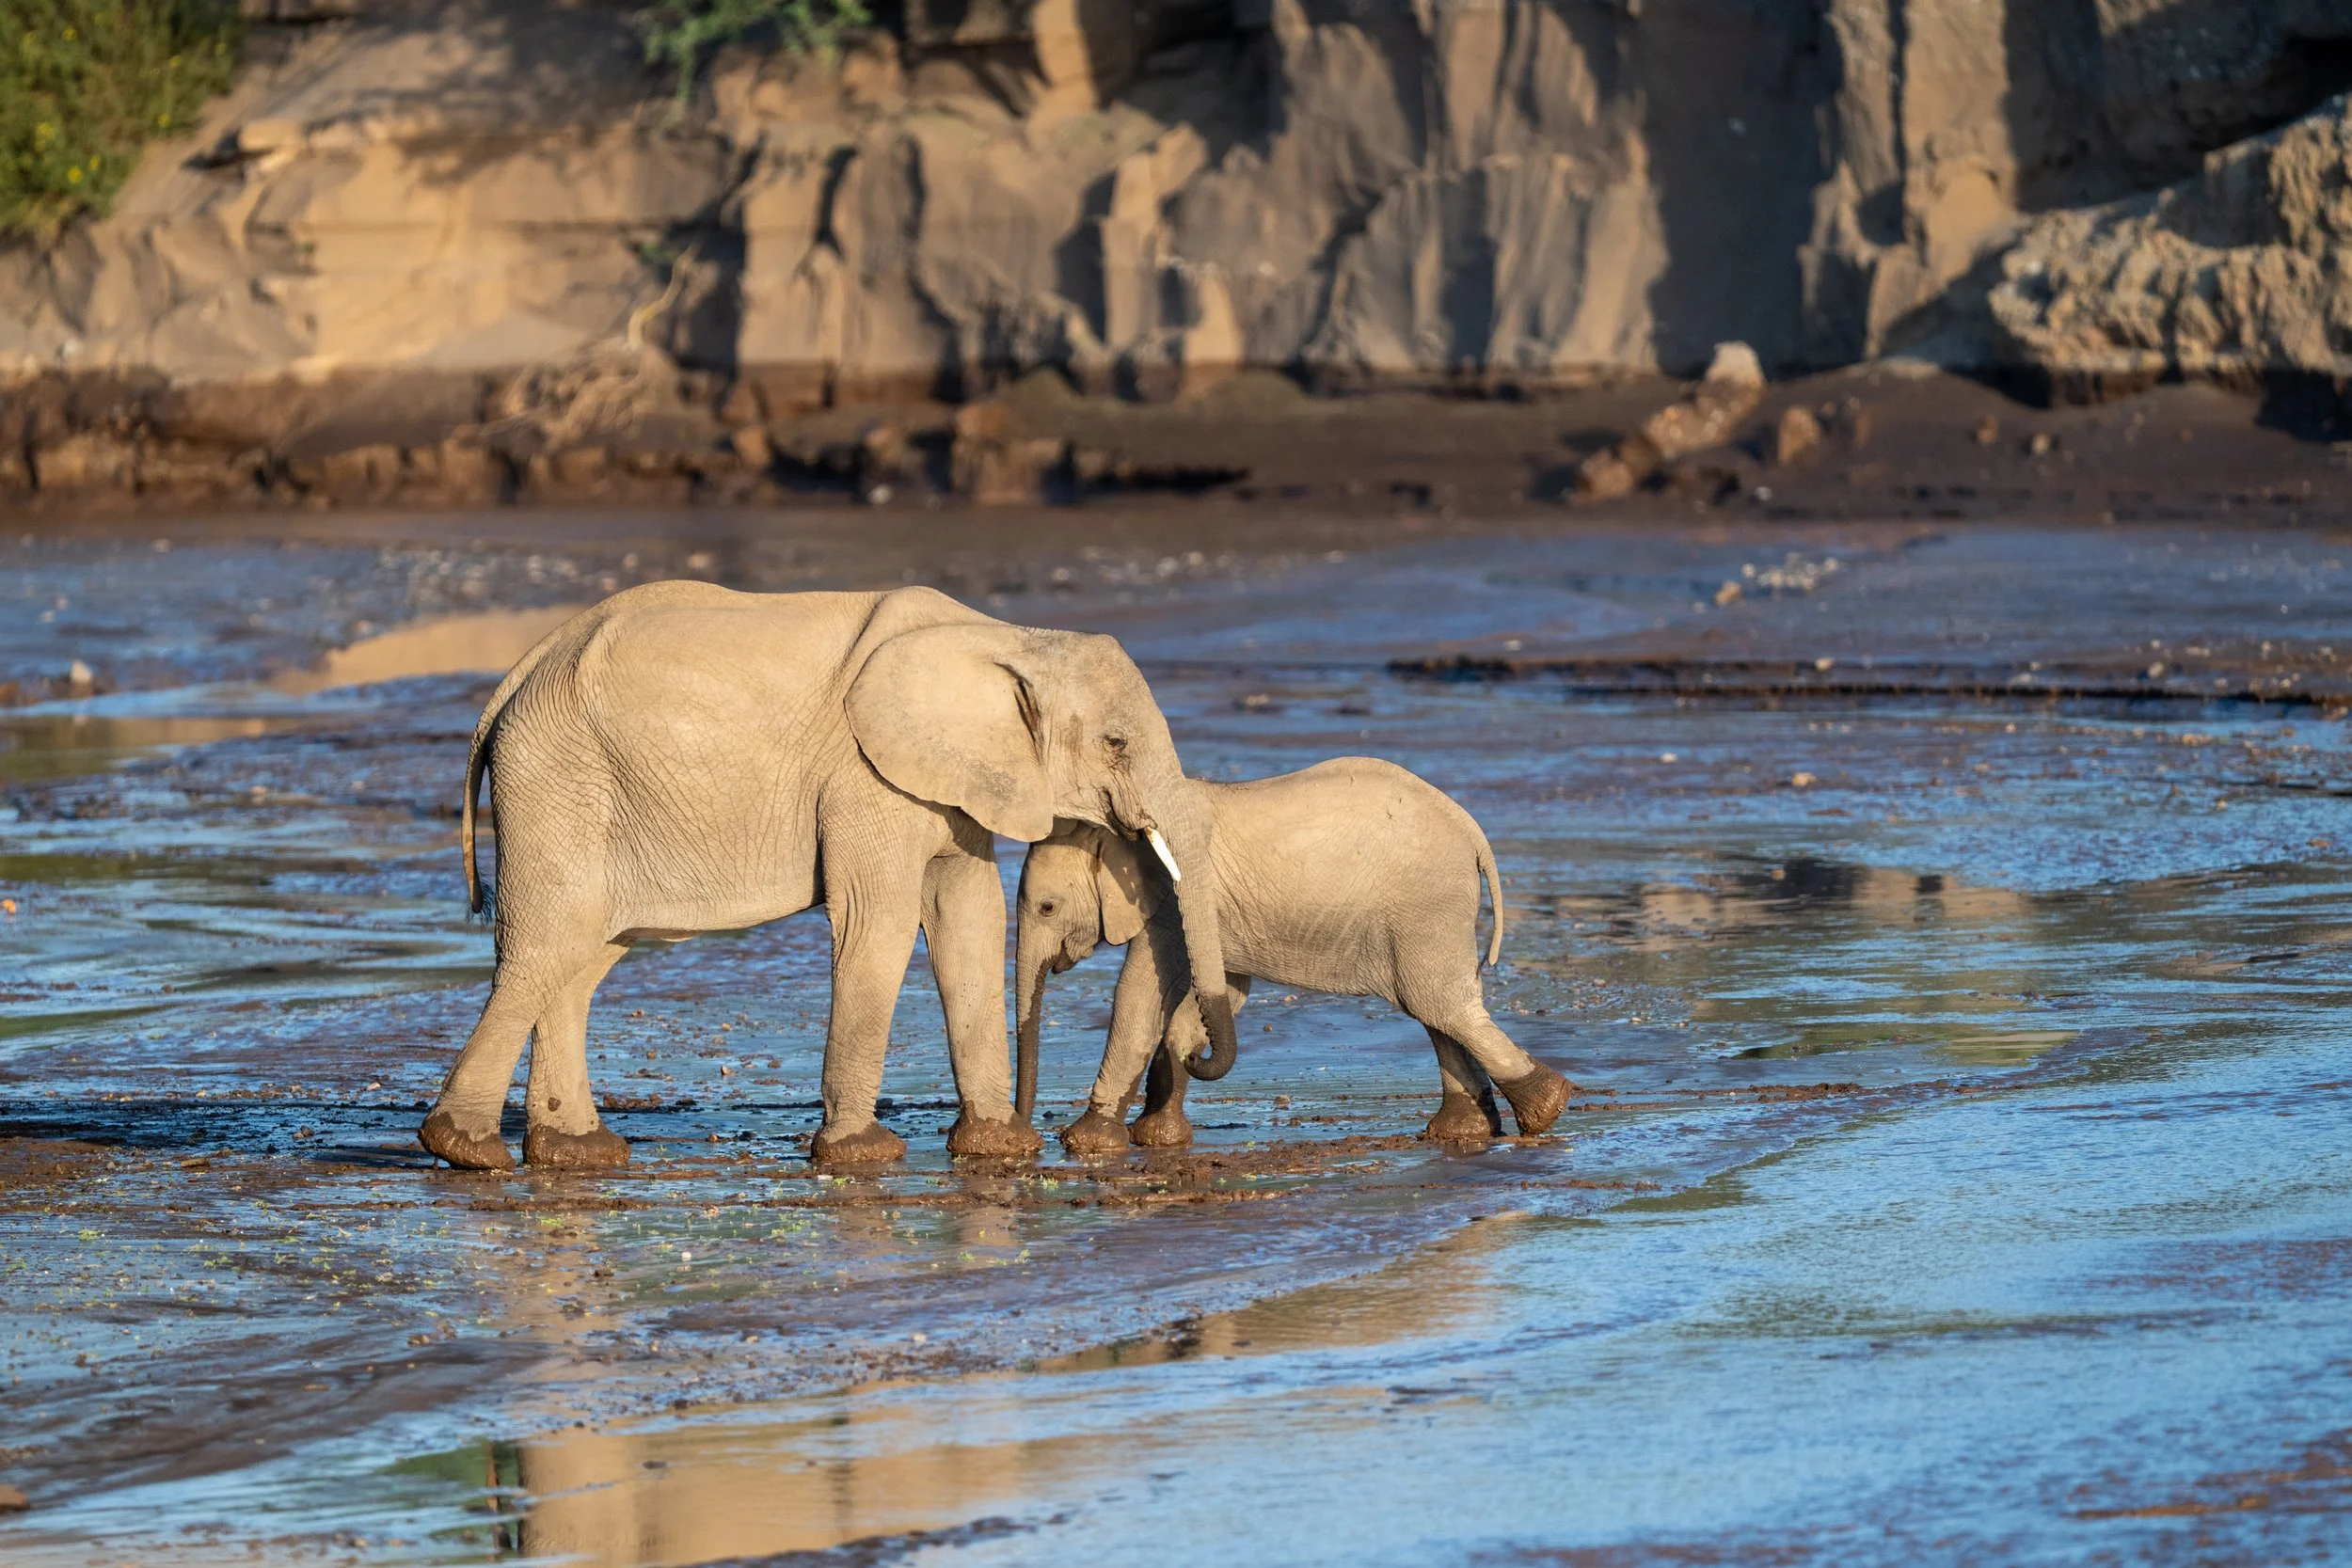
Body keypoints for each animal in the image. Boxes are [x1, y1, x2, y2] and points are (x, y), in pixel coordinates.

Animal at [417, 581, 1241, 1170]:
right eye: (1116, 742)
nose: (1197, 1056)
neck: (1006, 638)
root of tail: (515, 676)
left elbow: (965, 914)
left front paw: (995, 1148)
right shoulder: (863, 776)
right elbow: (879, 923)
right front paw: (862, 1154)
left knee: (584, 954)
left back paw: (576, 1152)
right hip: (557, 779)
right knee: (548, 943)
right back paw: (466, 1149)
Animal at [1012, 756, 1572, 1152]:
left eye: (1046, 907)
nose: (1029, 1137)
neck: (1117, 824)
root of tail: (1473, 830)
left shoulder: (1172, 898)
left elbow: (1142, 996)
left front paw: (1086, 1143)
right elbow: (1221, 993)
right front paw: (1160, 1134)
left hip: (1426, 900)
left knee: (1435, 1002)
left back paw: (1545, 1110)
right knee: (1432, 1005)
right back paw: (1464, 1132)